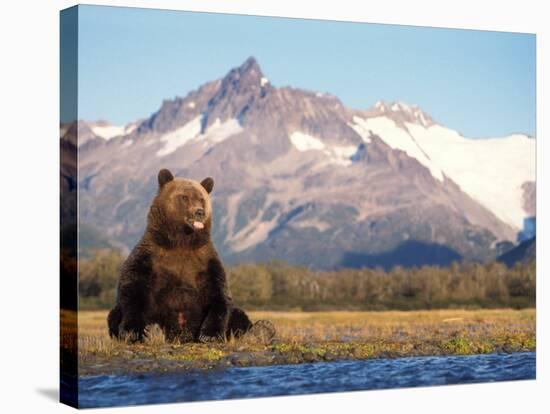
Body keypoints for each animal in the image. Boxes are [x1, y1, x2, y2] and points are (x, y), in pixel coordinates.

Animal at [107, 168, 272, 342]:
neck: (182, 241)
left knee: (238, 315)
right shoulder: (150, 256)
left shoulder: (205, 261)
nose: (199, 212)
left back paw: (262, 329)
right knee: (114, 314)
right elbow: (132, 288)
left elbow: (219, 295)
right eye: (184, 197)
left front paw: (210, 334)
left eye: (201, 198)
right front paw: (132, 331)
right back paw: (153, 331)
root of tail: (182, 335)